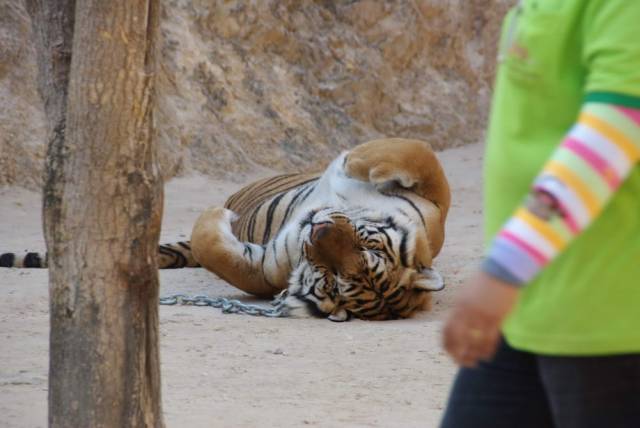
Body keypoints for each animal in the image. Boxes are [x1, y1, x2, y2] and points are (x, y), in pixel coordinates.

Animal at [0, 139, 450, 322]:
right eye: (365, 242)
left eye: (333, 281)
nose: (317, 232)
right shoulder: (433, 204)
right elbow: (419, 155)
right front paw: (357, 161)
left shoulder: (265, 268)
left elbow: (215, 250)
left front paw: (217, 216)